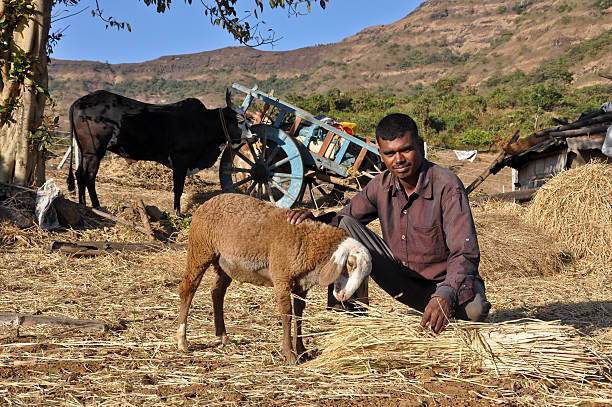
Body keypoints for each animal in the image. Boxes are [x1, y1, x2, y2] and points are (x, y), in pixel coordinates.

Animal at [66, 89, 249, 215]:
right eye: (240, 120)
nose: (252, 134)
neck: (202, 123)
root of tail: (79, 102)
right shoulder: (181, 160)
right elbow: (178, 188)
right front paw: (177, 212)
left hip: (84, 151)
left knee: (79, 174)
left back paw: (83, 205)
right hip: (94, 152)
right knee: (88, 176)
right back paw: (96, 206)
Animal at [175, 193, 370, 364]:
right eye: (350, 263)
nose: (344, 296)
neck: (311, 243)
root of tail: (206, 203)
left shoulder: (302, 285)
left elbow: (299, 313)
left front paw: (302, 351)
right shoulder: (282, 278)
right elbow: (287, 313)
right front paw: (290, 355)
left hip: (224, 263)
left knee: (217, 292)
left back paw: (223, 336)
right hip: (200, 248)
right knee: (188, 289)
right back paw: (182, 341)